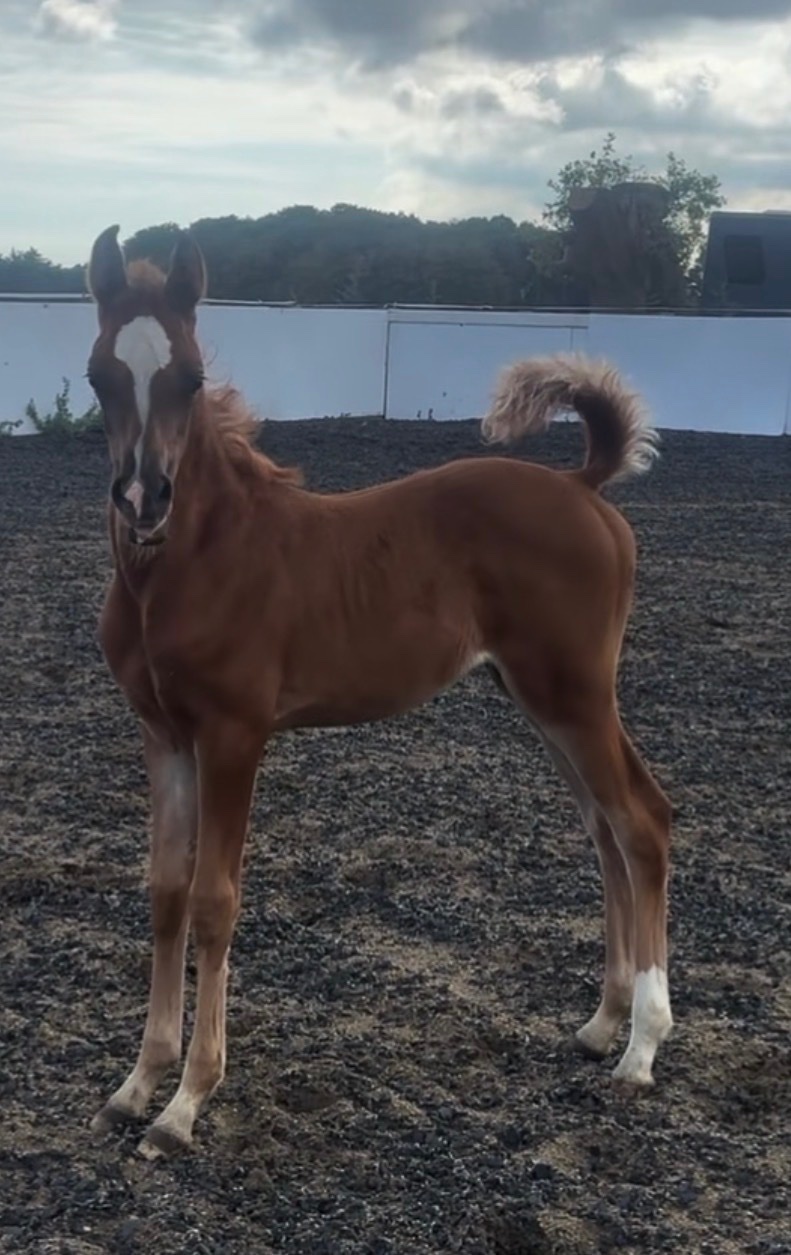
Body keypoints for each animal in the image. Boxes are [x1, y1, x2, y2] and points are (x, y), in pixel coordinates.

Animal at [84, 224, 673, 1159]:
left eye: (191, 378)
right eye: (101, 376)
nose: (145, 499)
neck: (195, 561)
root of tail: (582, 485)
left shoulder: (233, 734)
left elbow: (215, 900)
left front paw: (185, 1103)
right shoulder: (163, 732)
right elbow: (166, 891)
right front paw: (137, 1084)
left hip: (577, 693)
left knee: (643, 822)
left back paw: (641, 1049)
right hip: (537, 698)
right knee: (604, 828)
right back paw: (600, 1023)